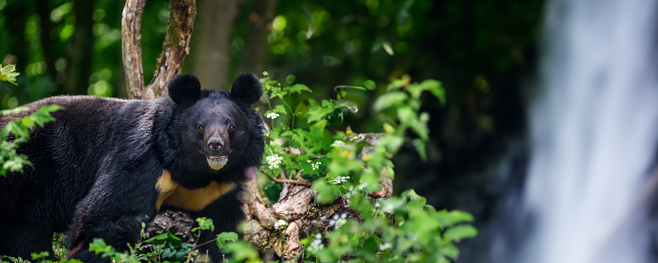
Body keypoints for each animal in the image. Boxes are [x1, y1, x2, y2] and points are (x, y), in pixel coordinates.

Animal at [0, 73, 264, 262]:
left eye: (231, 125)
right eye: (200, 126)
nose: (215, 146)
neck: (194, 171)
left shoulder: (219, 190)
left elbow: (224, 231)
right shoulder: (140, 158)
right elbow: (107, 217)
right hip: (25, 175)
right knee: (24, 236)